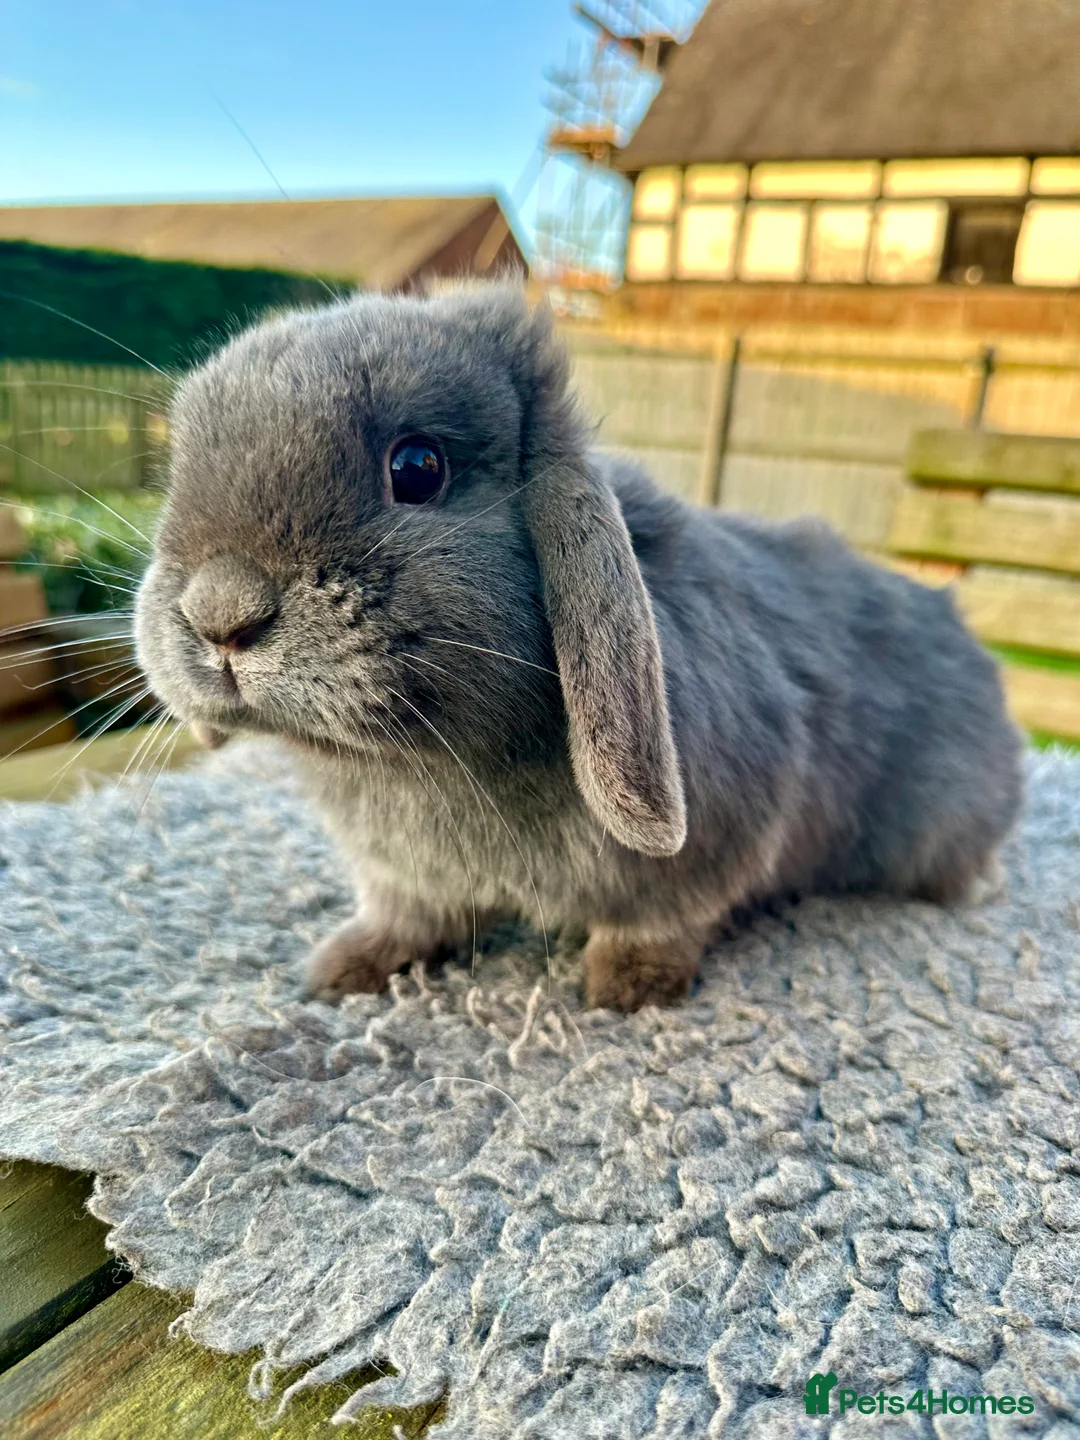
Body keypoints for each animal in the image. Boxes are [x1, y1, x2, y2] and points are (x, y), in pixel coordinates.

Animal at [135, 284, 1024, 1012]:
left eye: (417, 467)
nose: (219, 615)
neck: (425, 764)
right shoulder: (403, 878)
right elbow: (404, 916)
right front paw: (343, 967)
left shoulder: (716, 846)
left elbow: (664, 919)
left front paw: (627, 987)